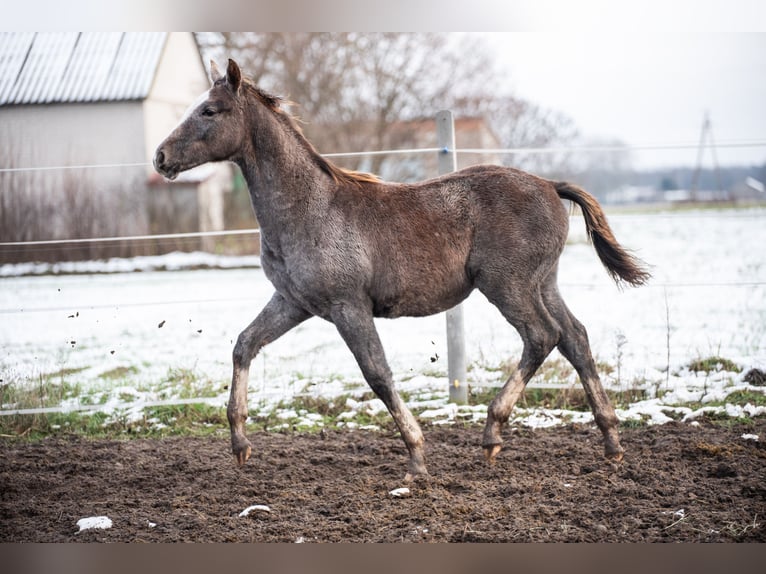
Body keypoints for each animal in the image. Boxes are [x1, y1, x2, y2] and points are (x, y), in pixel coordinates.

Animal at [154, 59, 650, 482]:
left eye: (209, 110)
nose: (160, 156)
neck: (309, 208)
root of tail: (550, 185)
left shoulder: (347, 306)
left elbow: (377, 373)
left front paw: (416, 458)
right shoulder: (293, 302)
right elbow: (244, 345)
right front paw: (239, 444)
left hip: (506, 285)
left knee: (542, 336)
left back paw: (492, 433)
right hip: (542, 284)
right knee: (575, 338)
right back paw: (611, 442)